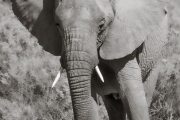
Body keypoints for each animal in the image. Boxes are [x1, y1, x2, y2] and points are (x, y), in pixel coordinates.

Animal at [8, 0, 169, 119]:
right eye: (57, 24)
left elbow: (132, 97)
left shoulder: (124, 38)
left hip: (156, 58)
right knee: (114, 107)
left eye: (101, 25)